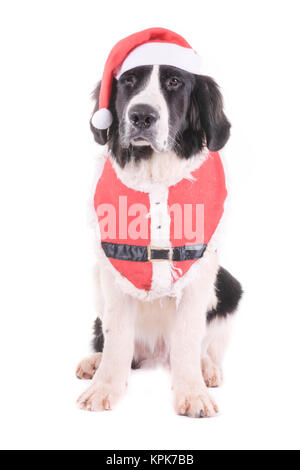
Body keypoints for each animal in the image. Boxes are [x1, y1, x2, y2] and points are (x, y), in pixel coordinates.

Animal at [76, 41, 243, 414]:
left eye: (174, 82)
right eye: (129, 81)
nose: (141, 116)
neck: (155, 177)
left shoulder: (199, 270)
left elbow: (188, 337)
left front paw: (192, 393)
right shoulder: (113, 271)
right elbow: (117, 336)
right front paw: (104, 386)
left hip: (228, 286)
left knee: (202, 345)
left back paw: (207, 369)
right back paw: (95, 362)